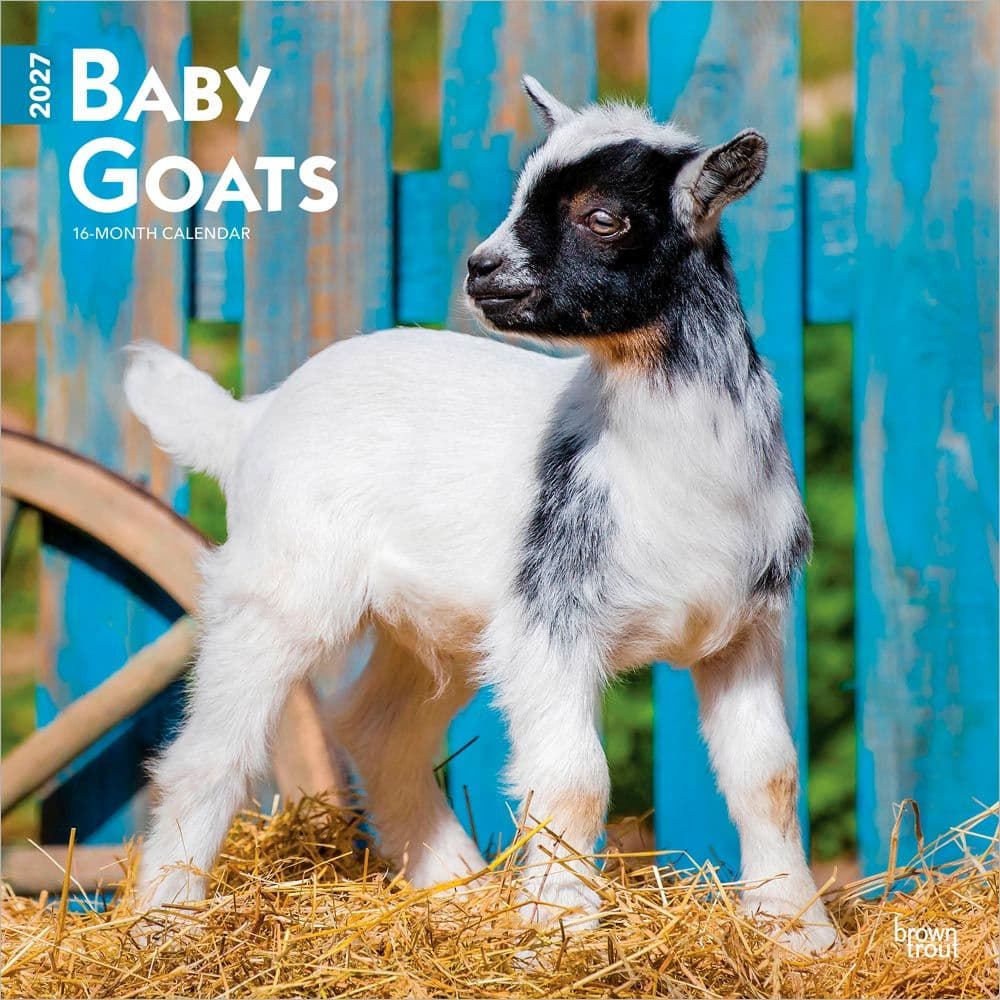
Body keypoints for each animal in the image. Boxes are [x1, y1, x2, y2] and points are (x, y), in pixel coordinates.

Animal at [125, 77, 835, 953]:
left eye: (604, 217)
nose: (481, 268)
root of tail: (252, 419)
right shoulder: (550, 627)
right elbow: (574, 783)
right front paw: (564, 933)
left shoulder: (744, 629)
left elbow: (769, 775)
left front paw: (801, 932)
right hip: (280, 588)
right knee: (210, 752)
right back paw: (164, 924)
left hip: (440, 626)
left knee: (378, 730)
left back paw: (455, 893)